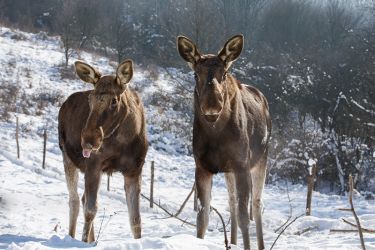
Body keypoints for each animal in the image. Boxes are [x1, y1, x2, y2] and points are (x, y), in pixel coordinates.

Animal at [58, 59, 148, 243]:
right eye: (90, 99)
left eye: (114, 100)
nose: (88, 139)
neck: (124, 141)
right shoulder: (94, 164)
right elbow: (91, 210)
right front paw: (83, 242)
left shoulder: (135, 170)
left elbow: (136, 220)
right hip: (67, 156)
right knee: (75, 200)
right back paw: (71, 237)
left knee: (82, 199)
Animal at [178, 35, 272, 250]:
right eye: (195, 74)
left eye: (225, 72)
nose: (212, 104)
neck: (215, 135)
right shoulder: (202, 167)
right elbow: (202, 217)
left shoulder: (241, 165)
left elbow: (245, 216)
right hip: (228, 170)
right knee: (231, 202)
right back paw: (234, 241)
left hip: (261, 159)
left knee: (256, 204)